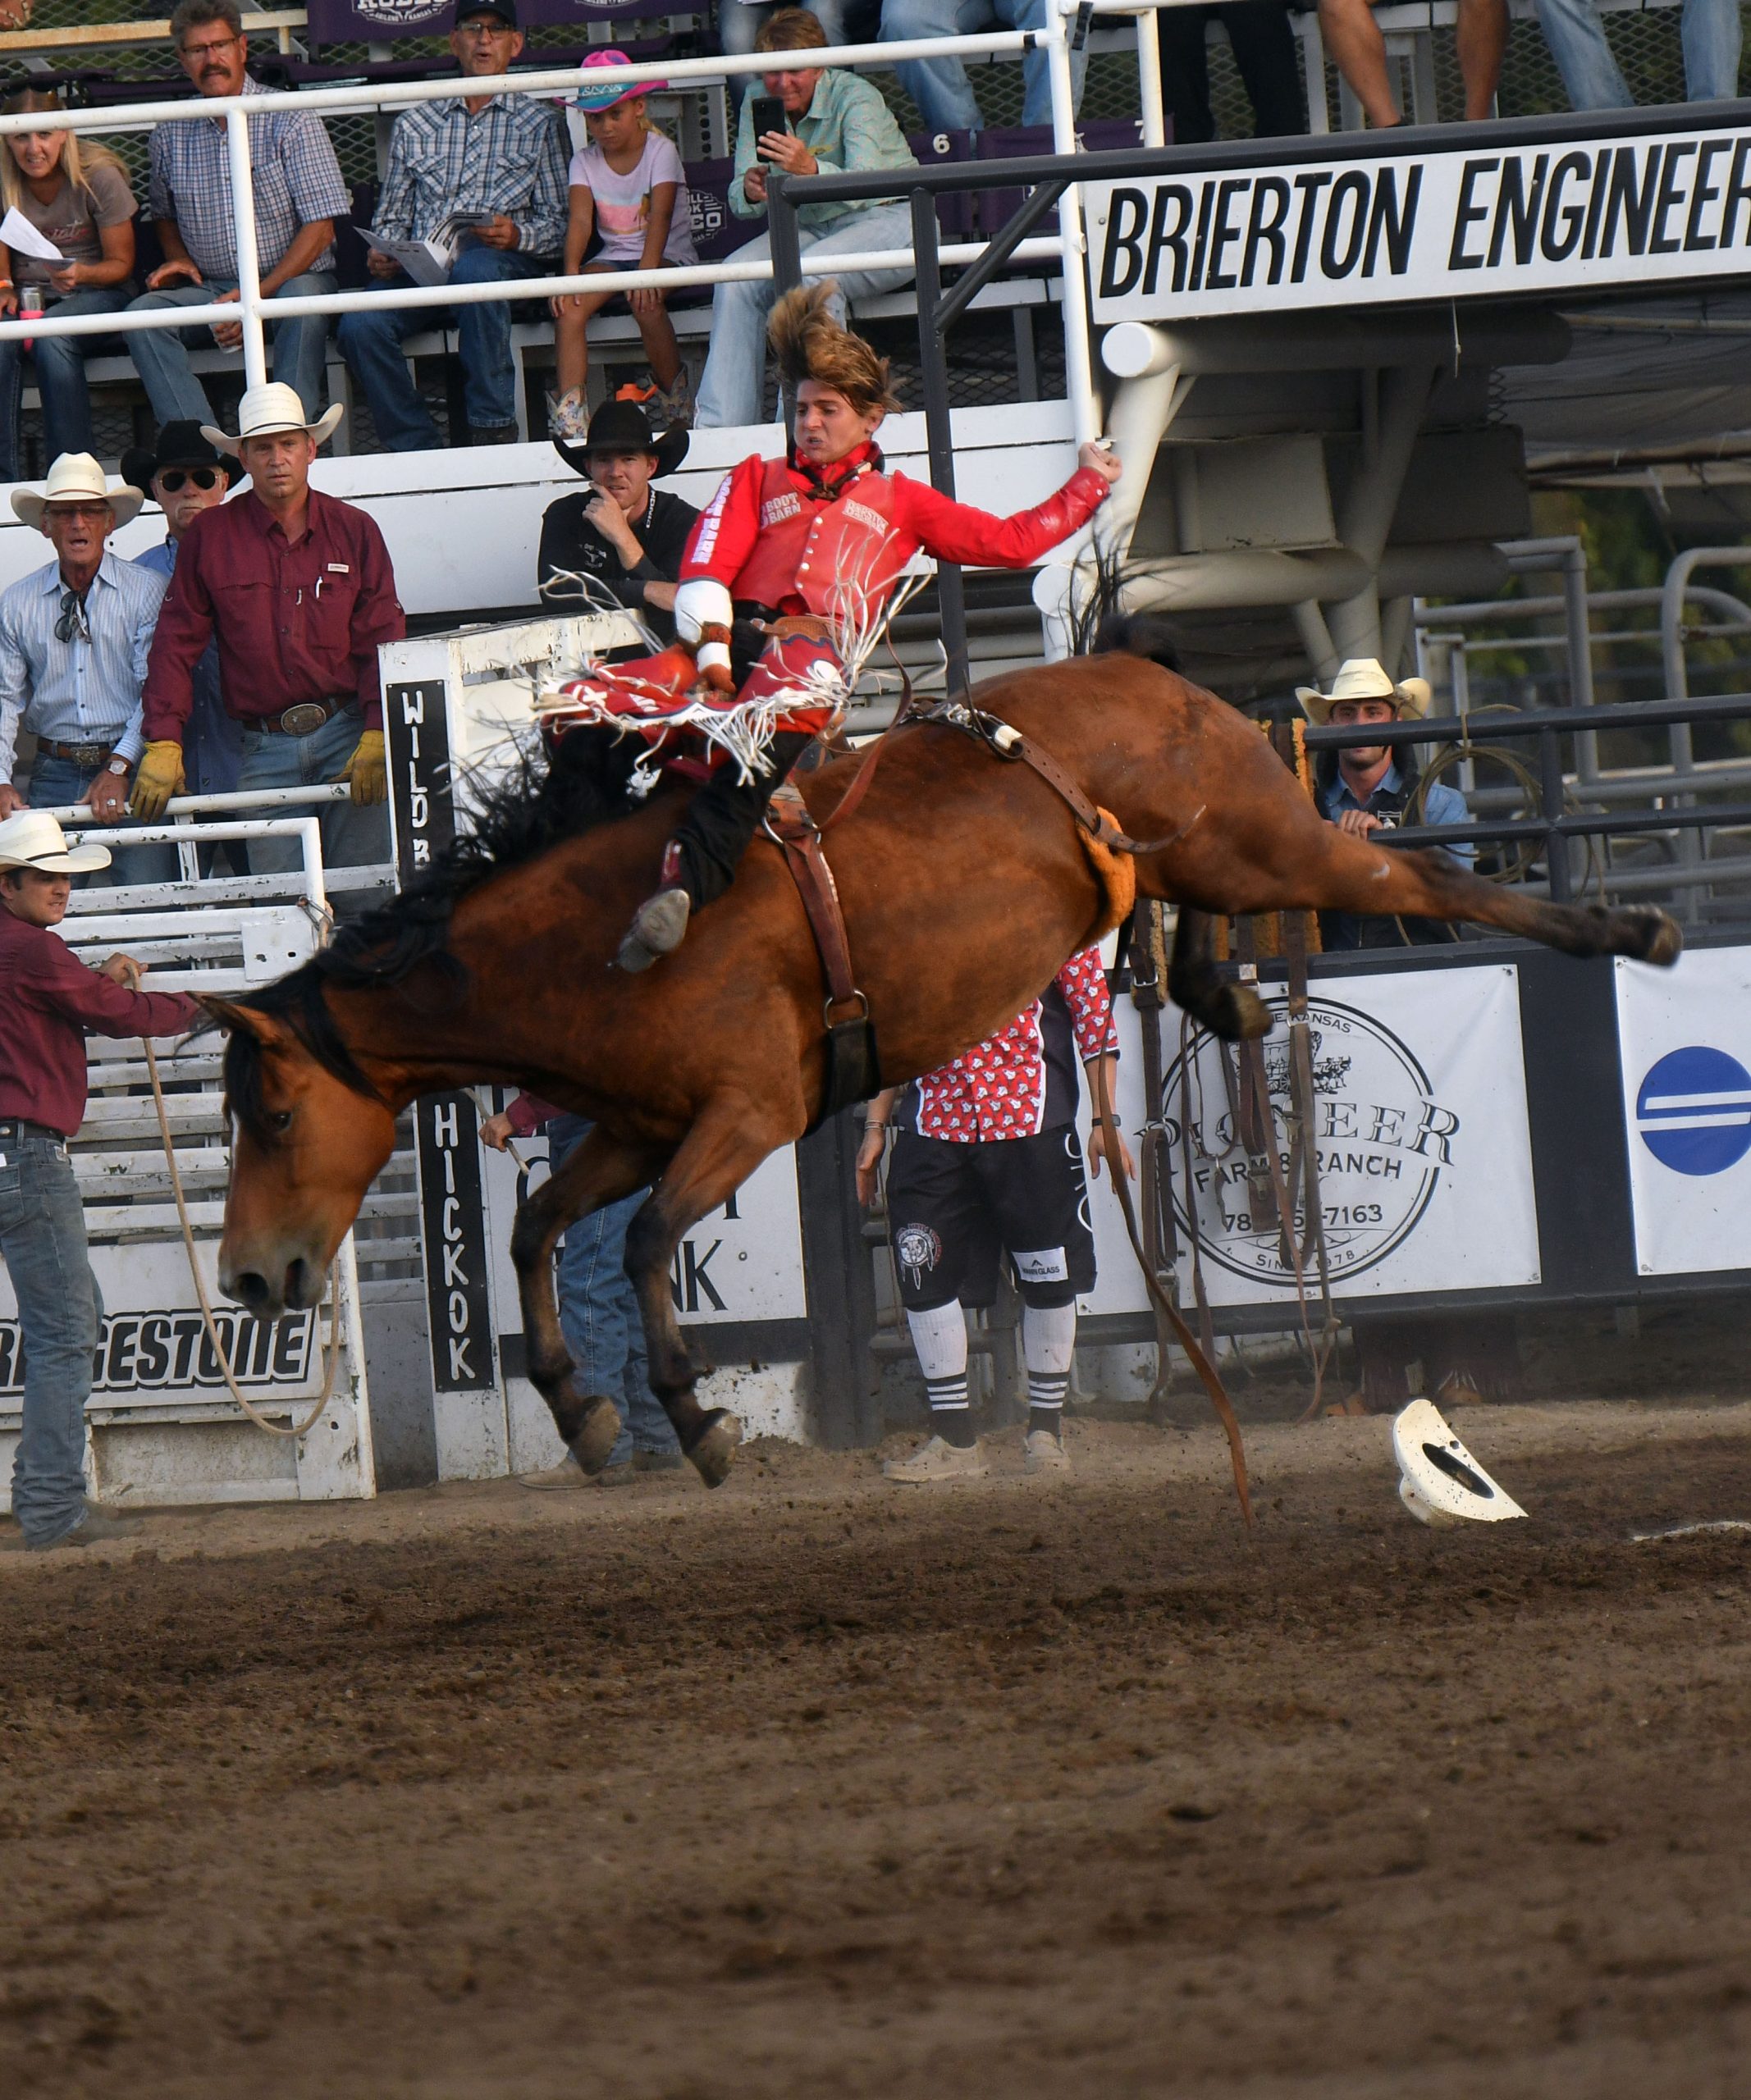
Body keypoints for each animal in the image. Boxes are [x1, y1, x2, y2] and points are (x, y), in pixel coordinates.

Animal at [208, 630, 1680, 1486]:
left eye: (270, 1112)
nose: (248, 1277)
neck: (589, 939)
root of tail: (1155, 674)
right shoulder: (635, 1126)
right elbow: (534, 1237)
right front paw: (581, 1416)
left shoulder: (748, 1112)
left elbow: (641, 1242)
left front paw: (695, 1420)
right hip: (1213, 854)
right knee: (1198, 917)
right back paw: (1227, 997)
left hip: (1275, 840)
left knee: (1421, 880)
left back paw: (1629, 928)